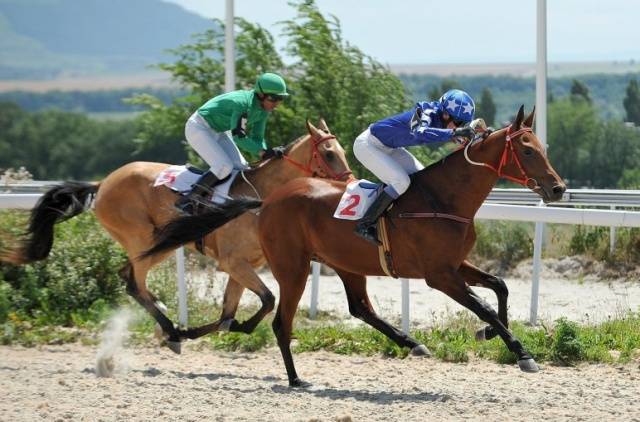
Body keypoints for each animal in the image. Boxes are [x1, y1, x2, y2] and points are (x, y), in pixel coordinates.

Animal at [0, 119, 350, 352]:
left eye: (343, 151)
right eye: (329, 153)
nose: (349, 183)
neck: (260, 196)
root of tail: (102, 183)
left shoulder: (243, 265)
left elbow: (231, 310)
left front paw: (220, 327)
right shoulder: (233, 262)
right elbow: (267, 299)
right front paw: (227, 327)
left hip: (158, 244)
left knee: (128, 276)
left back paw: (168, 324)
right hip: (146, 240)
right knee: (134, 282)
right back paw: (169, 328)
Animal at [141, 105, 564, 386]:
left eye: (543, 146)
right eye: (527, 150)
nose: (558, 189)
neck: (444, 199)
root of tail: (269, 200)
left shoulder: (454, 264)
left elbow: (500, 288)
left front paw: (492, 335)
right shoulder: (438, 275)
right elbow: (485, 306)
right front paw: (521, 352)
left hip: (344, 262)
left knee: (360, 307)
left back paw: (412, 343)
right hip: (292, 267)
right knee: (282, 321)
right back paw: (295, 379)